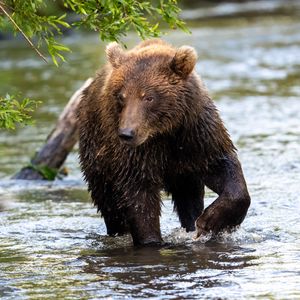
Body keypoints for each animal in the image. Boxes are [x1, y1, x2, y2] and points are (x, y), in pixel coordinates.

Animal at [77, 38, 251, 246]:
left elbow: (223, 167)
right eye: (121, 96)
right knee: (109, 202)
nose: (127, 133)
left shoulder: (196, 134)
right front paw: (151, 240)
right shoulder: (136, 153)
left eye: (148, 97)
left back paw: (191, 222)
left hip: (184, 172)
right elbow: (138, 195)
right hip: (97, 153)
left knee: (189, 195)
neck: (165, 130)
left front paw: (211, 221)